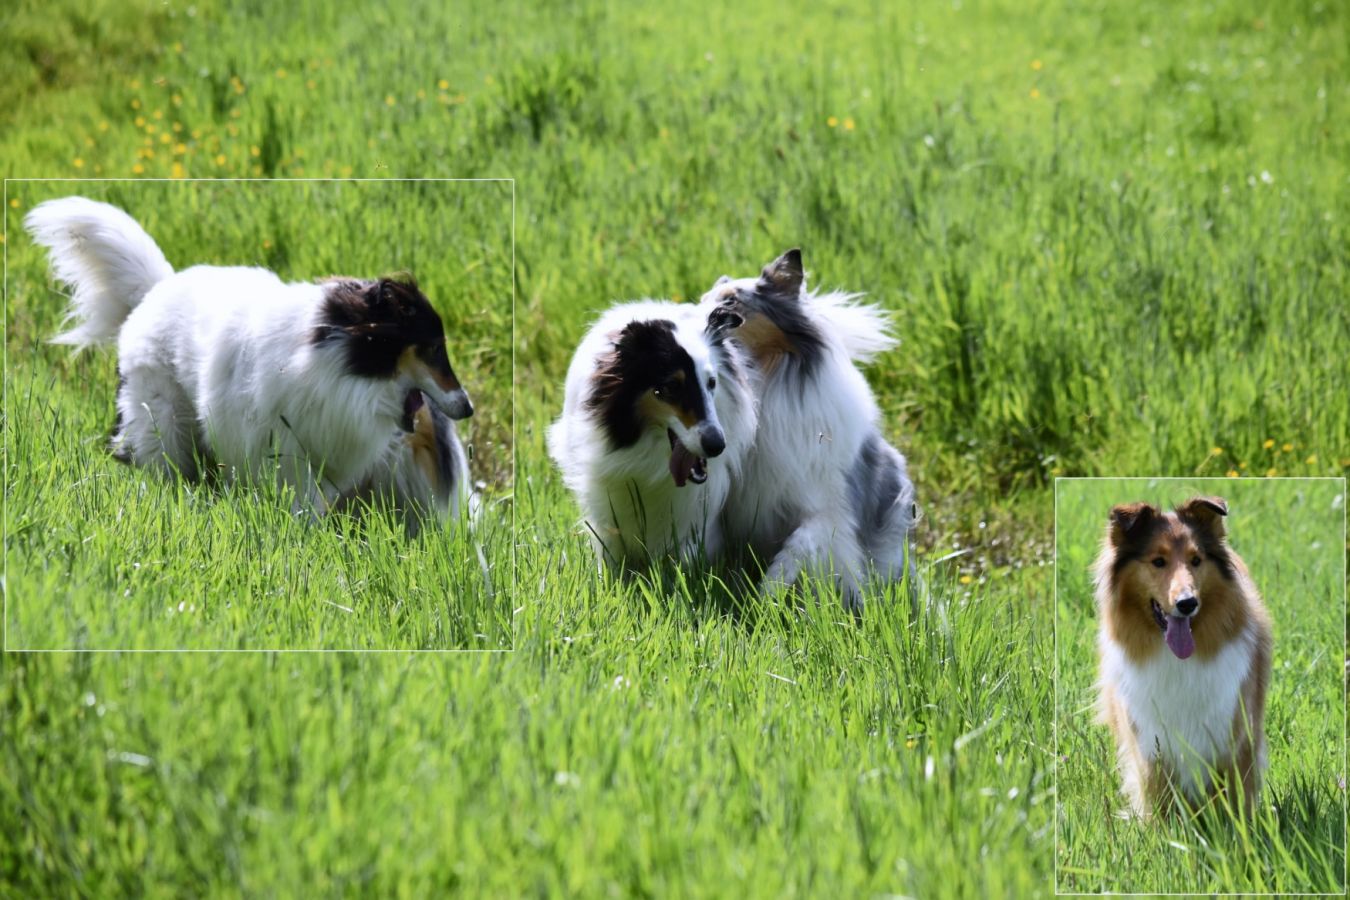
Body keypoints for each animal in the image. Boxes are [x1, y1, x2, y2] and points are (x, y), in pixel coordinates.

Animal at [25, 196, 472, 516]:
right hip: (161, 418)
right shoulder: (280, 456)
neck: (337, 362)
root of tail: (157, 289)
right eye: (434, 347)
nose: (468, 408)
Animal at [700, 249, 916, 611]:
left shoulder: (827, 509)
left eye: (731, 301)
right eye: (701, 299)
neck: (761, 384)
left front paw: (766, 596)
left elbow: (798, 546)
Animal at [1095, 496, 1272, 818]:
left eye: (1196, 560)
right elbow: (1159, 806)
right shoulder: (1151, 749)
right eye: (1158, 561)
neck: (1178, 661)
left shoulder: (1235, 738)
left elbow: (1236, 803)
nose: (1187, 603)